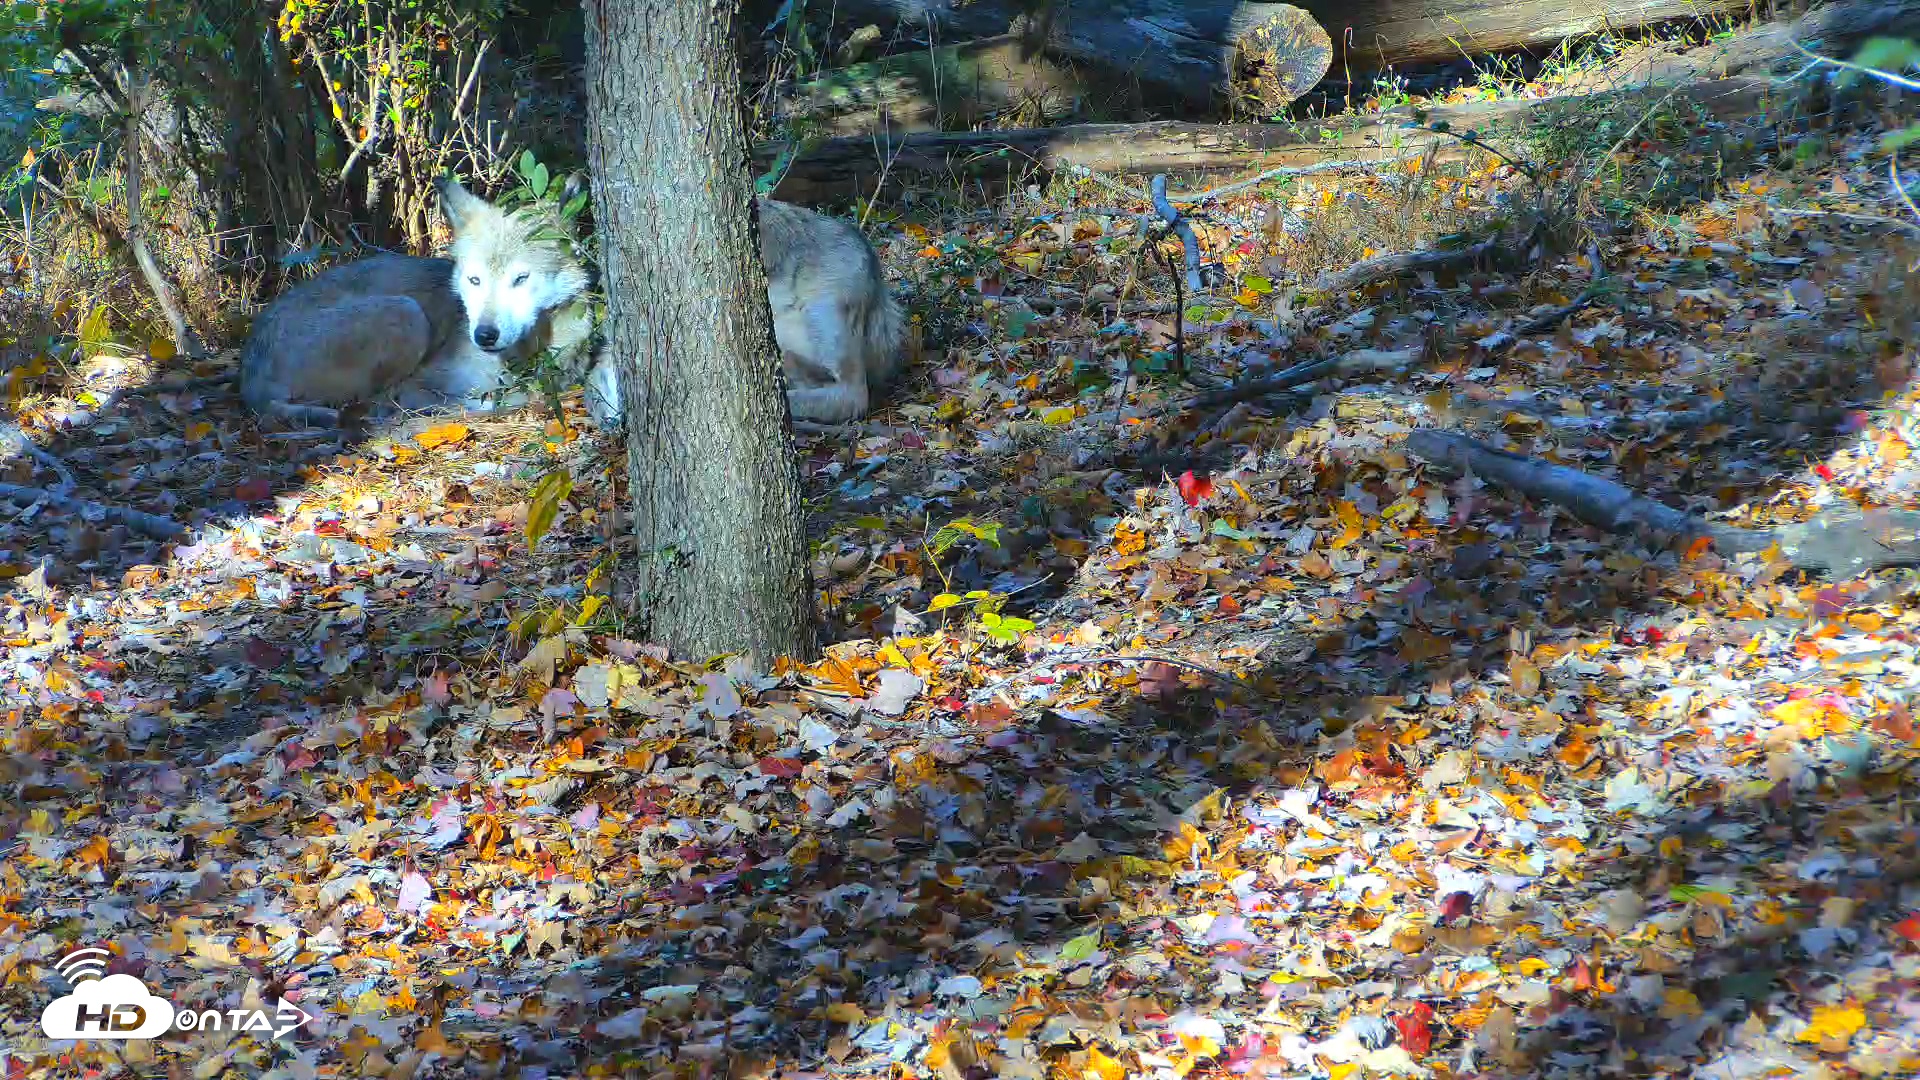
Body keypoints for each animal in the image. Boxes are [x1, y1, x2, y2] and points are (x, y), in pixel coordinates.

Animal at [240, 176, 600, 427]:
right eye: (475, 280)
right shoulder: (422, 382)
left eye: (521, 279)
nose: (484, 335)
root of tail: (249, 374)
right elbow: (485, 400)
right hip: (405, 312)